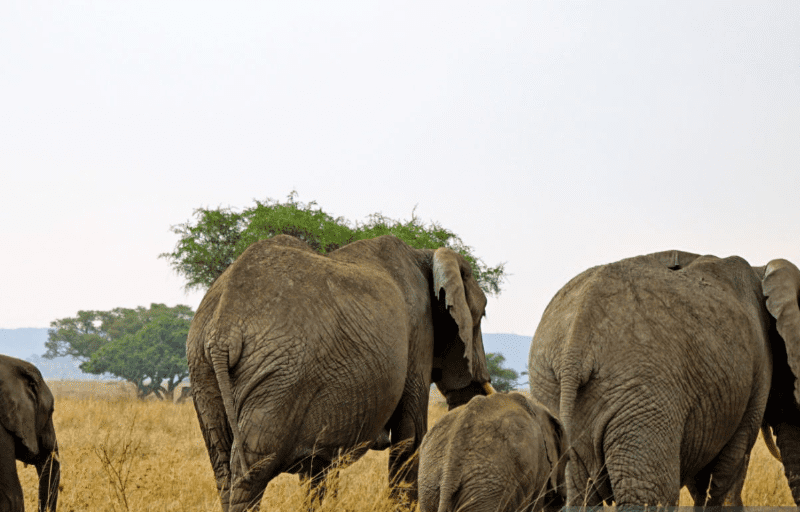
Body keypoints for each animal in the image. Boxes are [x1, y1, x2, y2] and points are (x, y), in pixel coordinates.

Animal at [187, 234, 495, 512]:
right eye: (481, 317)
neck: (426, 254)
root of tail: (223, 330)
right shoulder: (419, 334)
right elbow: (411, 437)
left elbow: (319, 466)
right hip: (279, 377)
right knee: (252, 469)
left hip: (204, 372)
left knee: (222, 465)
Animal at [527, 249, 800, 507]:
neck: (761, 270)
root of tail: (575, 345)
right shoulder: (754, 376)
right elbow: (726, 473)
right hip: (643, 394)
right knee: (651, 494)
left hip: (554, 391)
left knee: (581, 495)